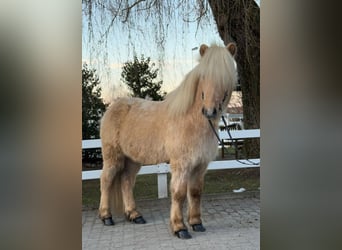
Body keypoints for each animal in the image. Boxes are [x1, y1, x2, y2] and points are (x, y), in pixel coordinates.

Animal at [99, 43, 238, 238]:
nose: (209, 111)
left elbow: (195, 192)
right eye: (203, 75)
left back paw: (135, 215)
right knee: (106, 181)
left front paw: (196, 223)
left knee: (126, 182)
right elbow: (179, 194)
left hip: (133, 160)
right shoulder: (181, 164)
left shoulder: (200, 165)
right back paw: (106, 217)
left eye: (226, 77)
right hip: (113, 157)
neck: (191, 120)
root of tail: (113, 107)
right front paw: (179, 228)